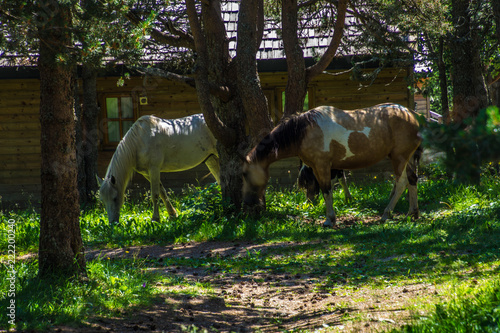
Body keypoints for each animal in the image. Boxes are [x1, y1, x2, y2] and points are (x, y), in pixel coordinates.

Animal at [243, 102, 422, 227]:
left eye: (244, 175)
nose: (248, 203)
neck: (305, 131)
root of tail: (412, 115)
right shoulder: (318, 168)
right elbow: (327, 190)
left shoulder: (323, 166)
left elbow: (326, 190)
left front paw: (330, 220)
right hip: (407, 158)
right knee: (412, 179)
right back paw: (412, 214)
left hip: (399, 158)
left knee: (401, 183)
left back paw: (386, 215)